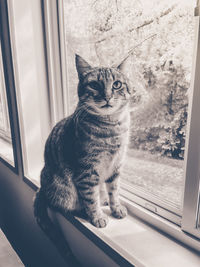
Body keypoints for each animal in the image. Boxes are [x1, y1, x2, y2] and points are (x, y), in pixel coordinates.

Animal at [33, 54, 132, 266]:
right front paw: (97, 216)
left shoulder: (116, 166)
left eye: (117, 84)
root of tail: (42, 187)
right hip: (64, 190)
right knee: (70, 203)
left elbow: (114, 191)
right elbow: (90, 198)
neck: (111, 127)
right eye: (94, 84)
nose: (107, 96)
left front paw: (115, 207)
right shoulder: (87, 172)